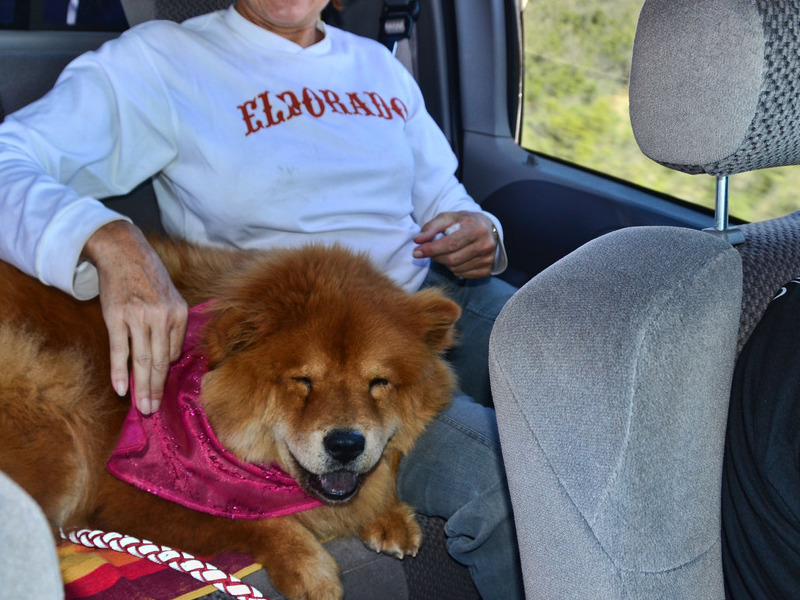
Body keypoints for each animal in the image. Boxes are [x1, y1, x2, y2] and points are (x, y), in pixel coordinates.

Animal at [0, 241, 460, 600]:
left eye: (378, 383)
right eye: (303, 381)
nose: (346, 443)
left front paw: (389, 515)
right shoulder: (131, 495)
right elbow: (251, 520)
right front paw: (310, 568)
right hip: (59, 411)